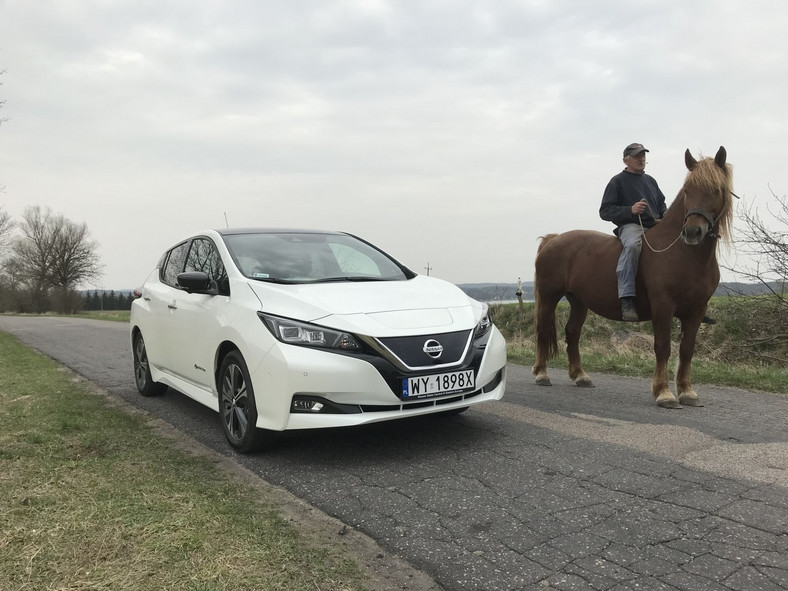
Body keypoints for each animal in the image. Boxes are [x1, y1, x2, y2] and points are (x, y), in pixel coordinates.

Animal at [532, 147, 736, 408]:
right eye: (688, 190)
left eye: (717, 190)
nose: (692, 232)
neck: (684, 255)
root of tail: (553, 239)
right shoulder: (663, 307)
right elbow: (663, 347)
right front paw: (663, 392)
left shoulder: (697, 311)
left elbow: (687, 350)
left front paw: (687, 392)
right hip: (549, 295)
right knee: (543, 330)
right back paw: (541, 374)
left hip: (578, 301)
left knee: (572, 332)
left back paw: (580, 376)